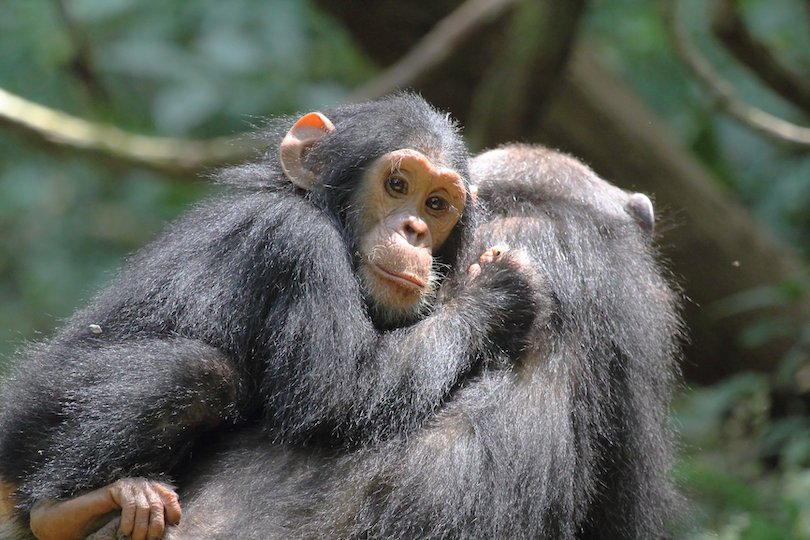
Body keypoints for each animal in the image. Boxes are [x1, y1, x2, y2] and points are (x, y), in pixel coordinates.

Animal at [1, 97, 544, 540]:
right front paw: (494, 293)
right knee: (194, 372)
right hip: (40, 412)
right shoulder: (300, 244)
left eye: (436, 204)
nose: (413, 230)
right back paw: (66, 511)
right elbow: (338, 392)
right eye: (397, 184)